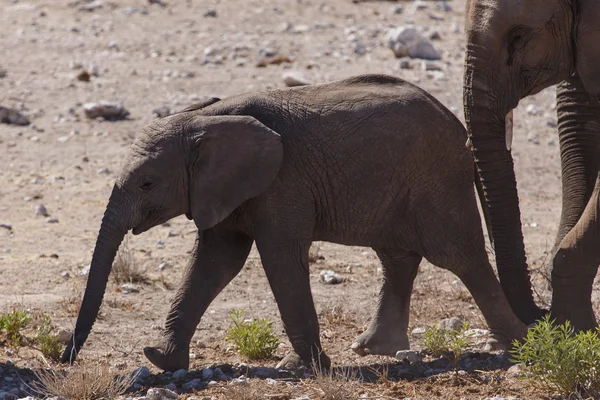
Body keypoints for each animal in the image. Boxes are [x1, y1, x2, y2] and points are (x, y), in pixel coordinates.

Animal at [63, 73, 528, 370]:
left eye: (147, 184)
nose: (66, 357)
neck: (204, 118)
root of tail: (457, 123)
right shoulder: (223, 189)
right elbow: (214, 263)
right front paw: (161, 360)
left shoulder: (281, 184)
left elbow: (279, 258)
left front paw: (300, 367)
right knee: (397, 257)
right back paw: (374, 349)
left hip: (436, 179)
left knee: (459, 256)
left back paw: (513, 345)